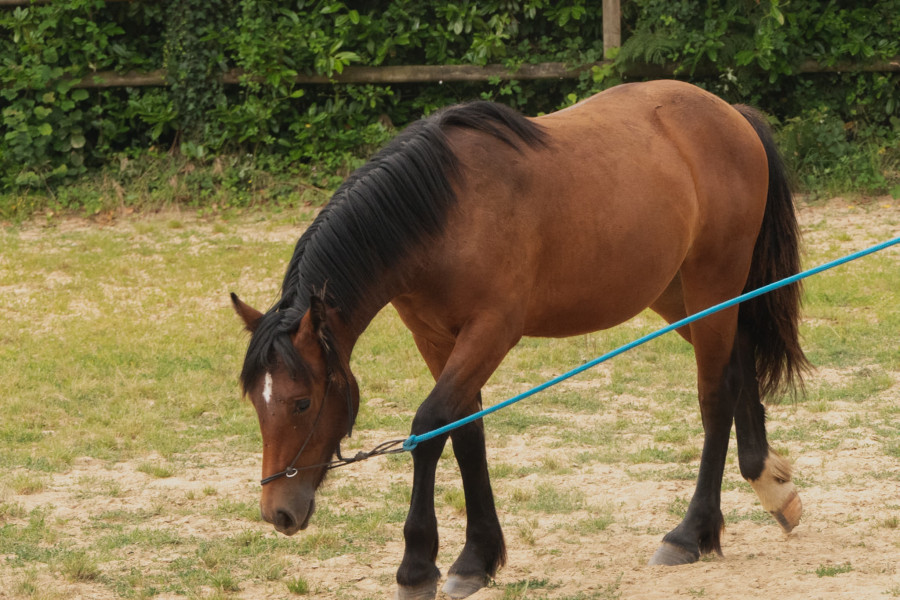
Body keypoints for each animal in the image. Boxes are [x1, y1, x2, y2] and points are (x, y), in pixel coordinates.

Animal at [232, 81, 808, 600]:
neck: (443, 215)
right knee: (740, 364)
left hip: (713, 281)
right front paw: (477, 559)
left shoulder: (491, 332)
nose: (278, 511)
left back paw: (692, 533)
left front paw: (417, 567)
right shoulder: (437, 341)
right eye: (255, 403)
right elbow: (466, 432)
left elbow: (430, 426)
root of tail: (728, 114)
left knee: (715, 395)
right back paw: (769, 483)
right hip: (680, 295)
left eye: (302, 402)